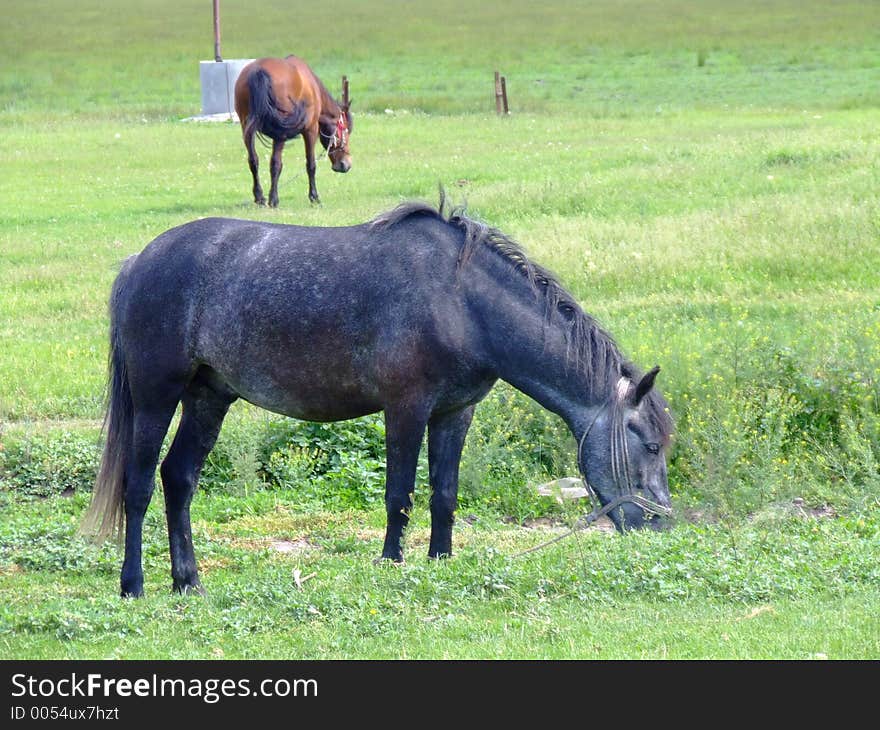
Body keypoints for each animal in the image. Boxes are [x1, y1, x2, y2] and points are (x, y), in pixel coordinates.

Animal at [84, 196, 672, 596]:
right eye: (649, 445)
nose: (662, 524)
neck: (461, 303)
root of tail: (139, 260)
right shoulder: (406, 408)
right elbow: (400, 495)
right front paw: (391, 562)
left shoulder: (455, 412)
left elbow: (444, 493)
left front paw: (440, 559)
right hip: (156, 397)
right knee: (139, 487)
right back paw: (134, 585)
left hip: (209, 398)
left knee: (178, 479)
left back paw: (188, 581)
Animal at [232, 54, 352, 205]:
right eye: (346, 131)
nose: (346, 165)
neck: (314, 87)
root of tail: (258, 71)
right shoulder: (311, 130)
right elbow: (311, 164)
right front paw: (314, 196)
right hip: (280, 133)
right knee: (275, 163)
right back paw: (274, 199)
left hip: (246, 127)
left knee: (253, 160)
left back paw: (260, 197)